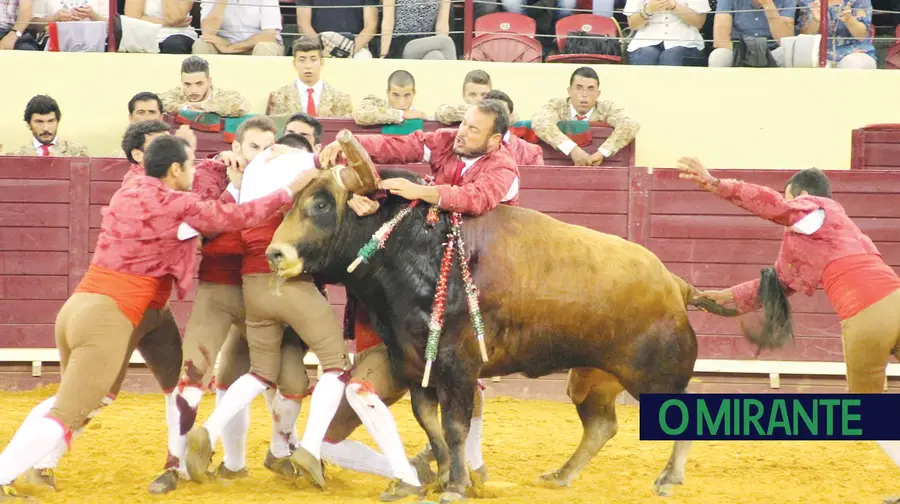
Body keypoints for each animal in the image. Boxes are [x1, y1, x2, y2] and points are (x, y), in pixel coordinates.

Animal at [266, 132, 740, 502]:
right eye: (293, 203)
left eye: (323, 205)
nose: (276, 253)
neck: (413, 244)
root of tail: (675, 283)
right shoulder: (415, 364)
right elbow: (431, 424)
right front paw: (442, 477)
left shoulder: (457, 365)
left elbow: (455, 425)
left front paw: (456, 486)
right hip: (591, 375)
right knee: (601, 425)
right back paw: (560, 476)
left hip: (654, 378)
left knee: (679, 417)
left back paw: (668, 479)